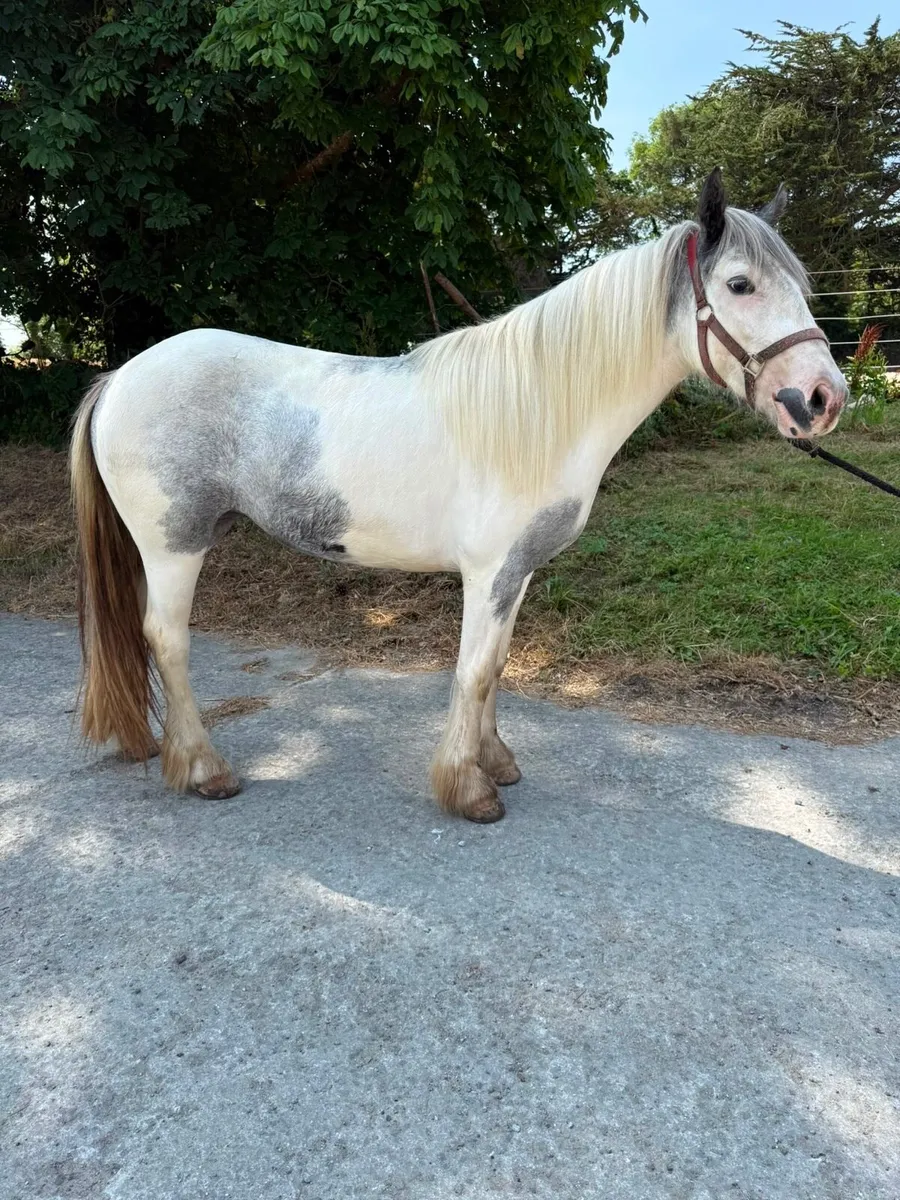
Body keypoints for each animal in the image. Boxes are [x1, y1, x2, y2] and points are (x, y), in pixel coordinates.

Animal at [70, 169, 847, 823]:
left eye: (800, 283)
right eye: (741, 285)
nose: (822, 399)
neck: (541, 410)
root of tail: (120, 376)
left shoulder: (519, 572)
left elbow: (496, 666)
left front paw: (495, 761)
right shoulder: (490, 572)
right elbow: (471, 671)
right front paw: (468, 788)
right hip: (174, 545)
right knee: (166, 639)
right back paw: (205, 769)